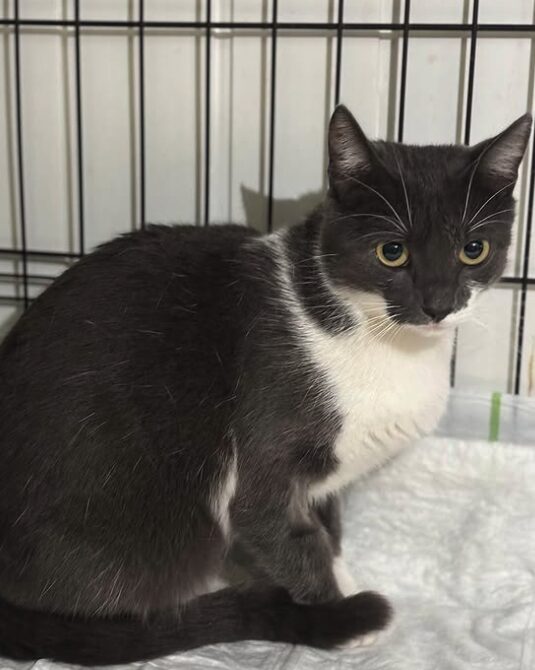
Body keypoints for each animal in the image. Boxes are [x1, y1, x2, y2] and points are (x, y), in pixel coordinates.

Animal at [0, 106, 532, 668]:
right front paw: (343, 617)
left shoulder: (325, 479)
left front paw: (344, 581)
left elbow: (328, 529)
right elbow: (287, 534)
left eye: (473, 250)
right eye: (392, 251)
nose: (438, 304)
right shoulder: (269, 433)